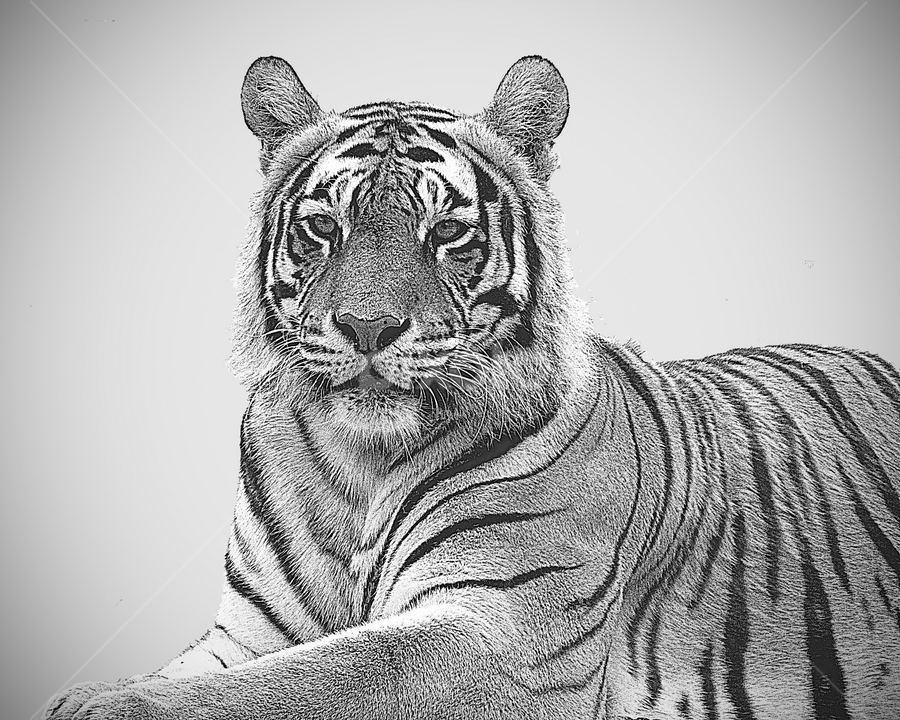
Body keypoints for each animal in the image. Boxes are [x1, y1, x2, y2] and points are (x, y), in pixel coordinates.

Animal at [44, 54, 900, 720]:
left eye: (448, 233)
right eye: (325, 228)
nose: (368, 328)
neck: (357, 464)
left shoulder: (506, 633)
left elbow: (316, 677)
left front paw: (98, 705)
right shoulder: (250, 631)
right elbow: (231, 673)